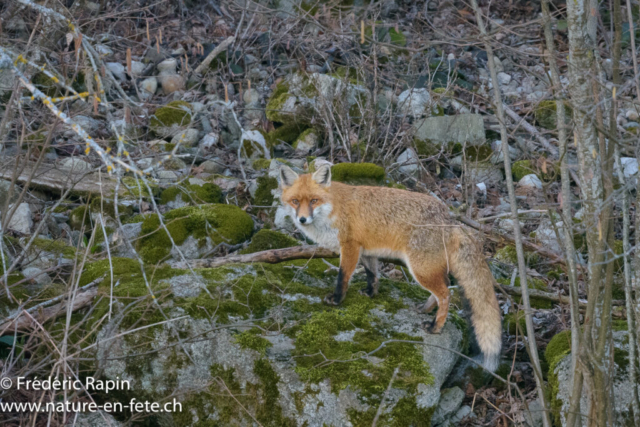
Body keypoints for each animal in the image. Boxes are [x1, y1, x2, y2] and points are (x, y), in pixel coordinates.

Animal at [279, 163, 502, 371]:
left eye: (314, 201)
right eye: (295, 201)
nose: (302, 219)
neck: (333, 209)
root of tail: (450, 220)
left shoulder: (350, 245)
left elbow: (343, 277)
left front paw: (337, 299)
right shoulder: (366, 250)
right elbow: (372, 274)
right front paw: (371, 293)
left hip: (419, 269)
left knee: (446, 294)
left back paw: (435, 327)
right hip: (426, 269)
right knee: (443, 289)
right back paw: (425, 309)